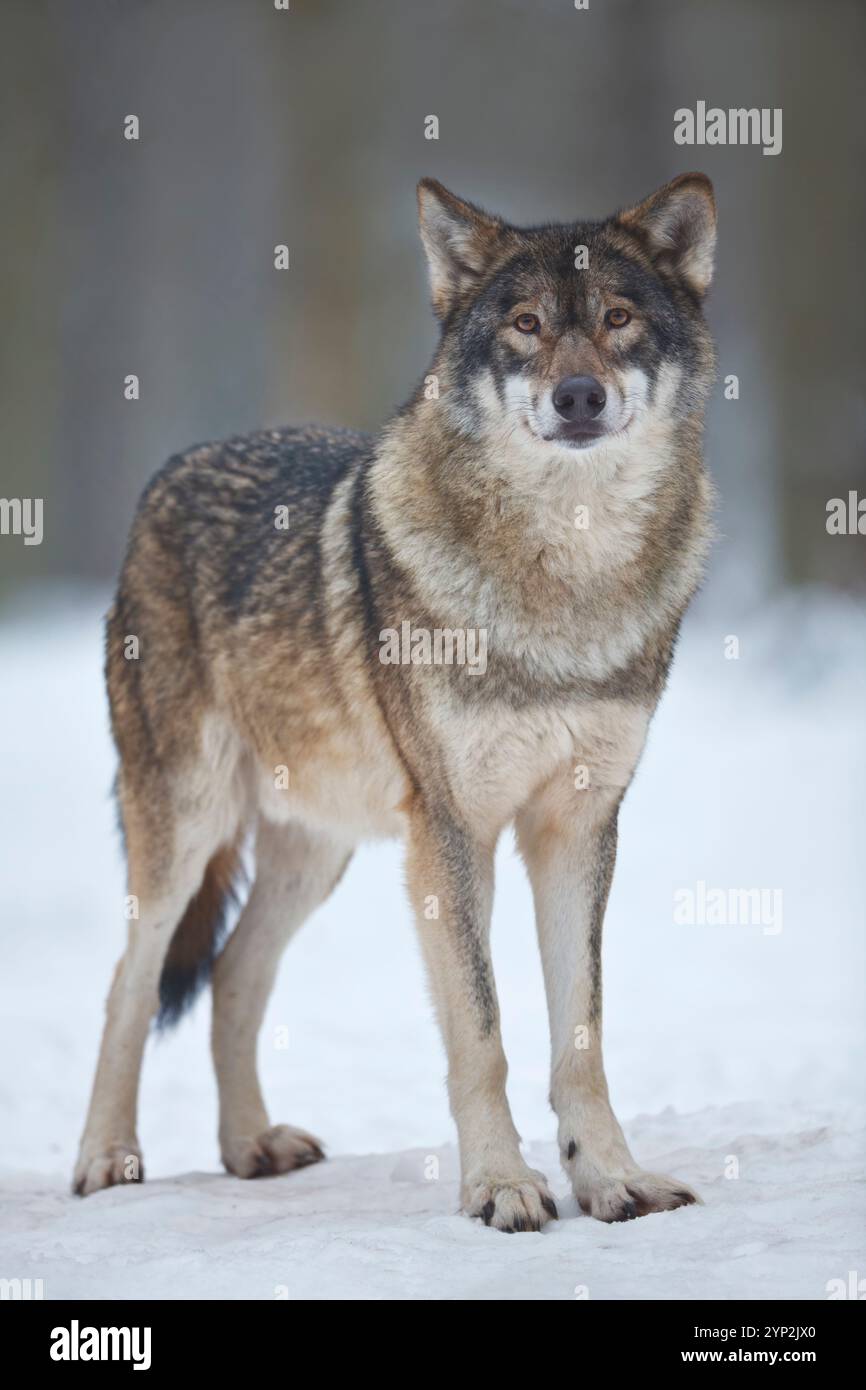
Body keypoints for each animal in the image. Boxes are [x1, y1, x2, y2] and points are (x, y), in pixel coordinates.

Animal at [76, 173, 717, 1228]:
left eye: (618, 320)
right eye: (526, 325)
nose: (579, 395)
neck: (563, 585)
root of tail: (166, 475)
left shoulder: (578, 826)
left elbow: (580, 1037)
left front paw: (611, 1179)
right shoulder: (453, 833)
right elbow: (483, 1034)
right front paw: (501, 1188)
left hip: (316, 853)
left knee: (234, 972)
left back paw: (250, 1146)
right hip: (187, 830)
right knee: (132, 980)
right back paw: (105, 1160)